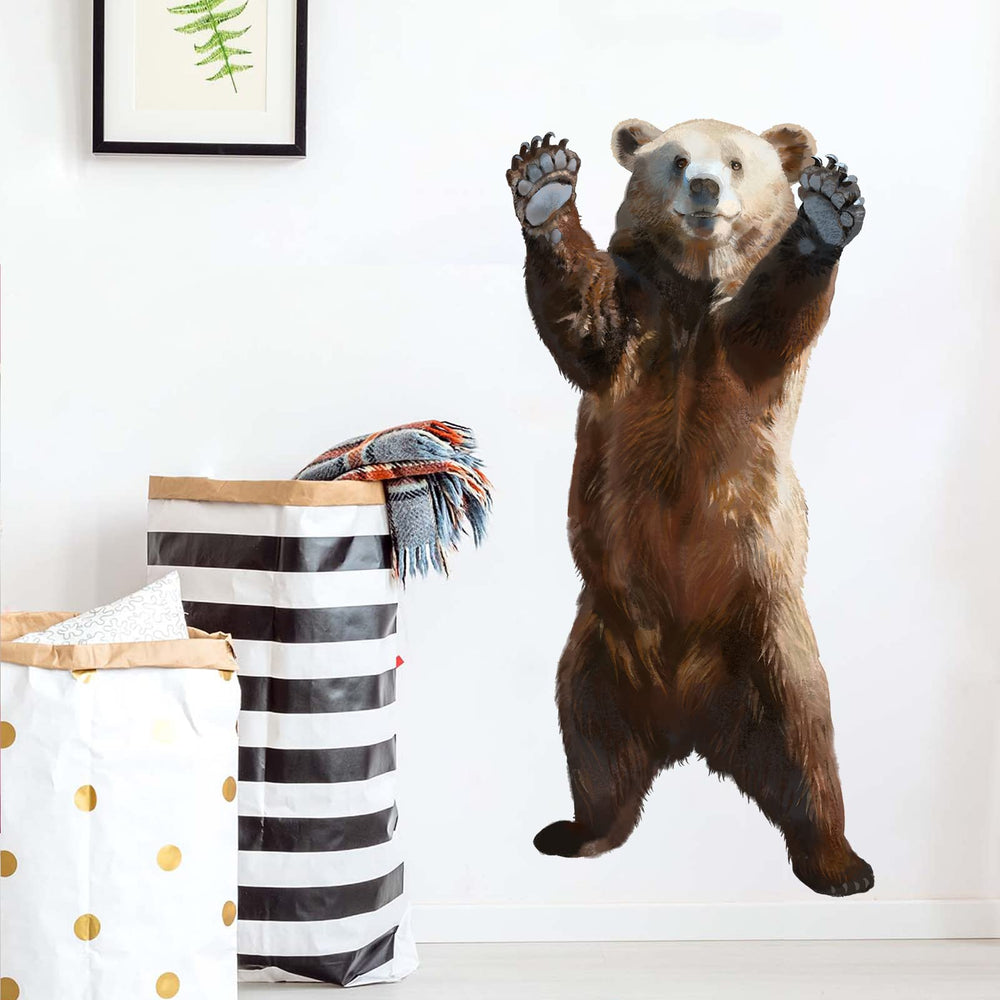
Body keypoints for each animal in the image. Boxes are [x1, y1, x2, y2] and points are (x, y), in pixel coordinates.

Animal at [505, 118, 872, 896]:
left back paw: (837, 864)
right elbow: (588, 326)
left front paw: (827, 208)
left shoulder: (735, 350)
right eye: (675, 160)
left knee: (809, 748)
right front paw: (544, 180)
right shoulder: (642, 311)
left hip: (769, 634)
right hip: (598, 647)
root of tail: (689, 723)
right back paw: (577, 831)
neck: (697, 281)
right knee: (593, 744)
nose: (703, 186)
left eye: (735, 161)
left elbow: (770, 325)